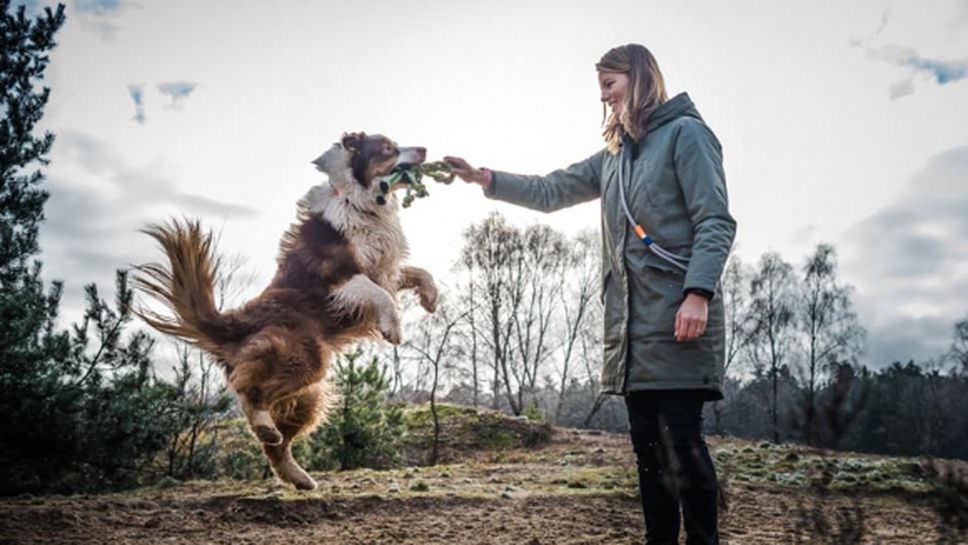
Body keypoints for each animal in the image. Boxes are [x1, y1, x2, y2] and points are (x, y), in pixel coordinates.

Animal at [132, 131, 438, 488]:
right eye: (388, 148)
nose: (425, 149)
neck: (358, 202)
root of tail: (236, 324)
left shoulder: (385, 269)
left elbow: (417, 272)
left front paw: (431, 297)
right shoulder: (339, 275)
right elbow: (381, 295)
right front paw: (394, 327)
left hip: (309, 392)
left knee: (275, 443)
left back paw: (298, 475)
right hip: (301, 355)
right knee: (247, 389)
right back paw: (265, 425)